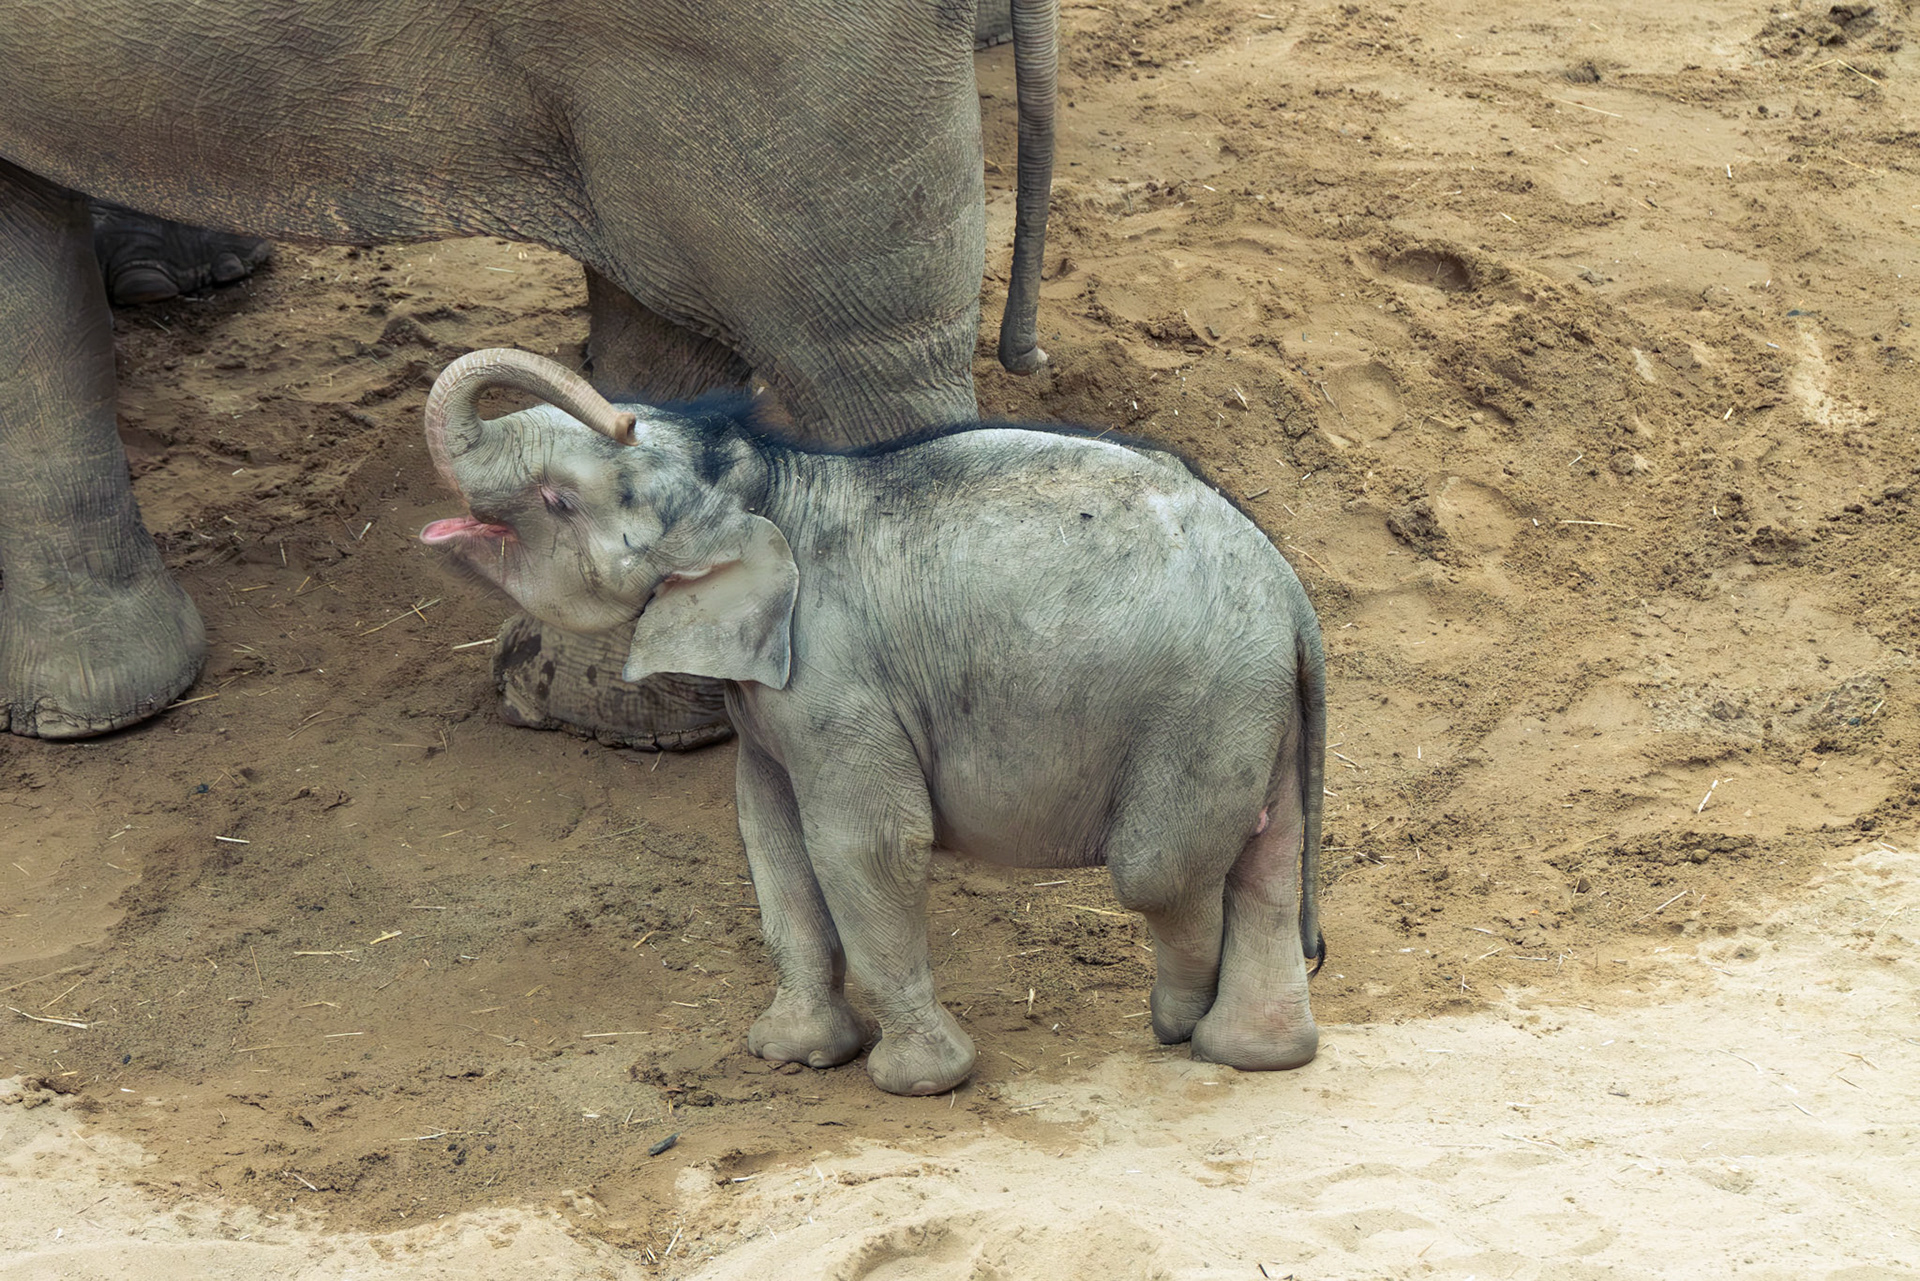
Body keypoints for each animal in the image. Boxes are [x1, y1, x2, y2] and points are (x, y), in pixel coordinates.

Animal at [418, 348, 1328, 1095]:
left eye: (557, 499)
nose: (619, 411)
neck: (767, 481)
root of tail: (1293, 594)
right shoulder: (773, 696)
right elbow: (768, 831)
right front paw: (791, 1054)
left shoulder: (838, 674)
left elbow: (866, 843)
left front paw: (914, 1081)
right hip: (1252, 700)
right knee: (1267, 855)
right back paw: (1255, 1054)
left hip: (1202, 700)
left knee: (1160, 871)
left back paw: (1179, 1023)